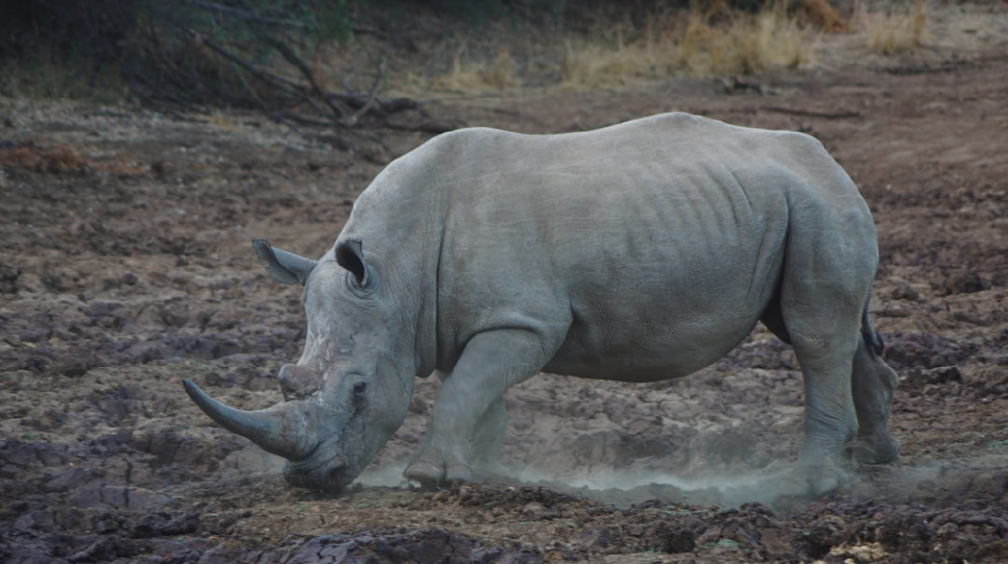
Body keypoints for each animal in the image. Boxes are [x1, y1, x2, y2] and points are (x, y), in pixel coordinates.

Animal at [183, 112, 900, 495]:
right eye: (286, 380)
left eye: (359, 391)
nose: (310, 481)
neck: (393, 273)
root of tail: (831, 162)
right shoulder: (463, 319)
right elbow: (477, 392)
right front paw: (479, 472)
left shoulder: (525, 320)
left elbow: (464, 389)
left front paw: (428, 478)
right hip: (789, 205)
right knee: (828, 332)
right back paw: (876, 460)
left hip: (818, 207)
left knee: (813, 335)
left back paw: (809, 485)